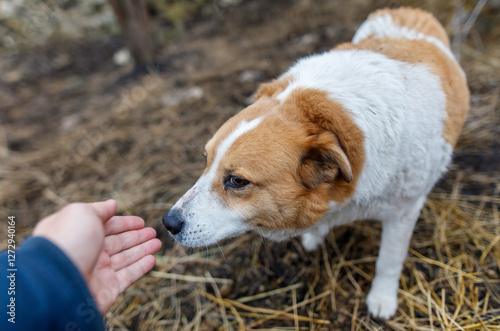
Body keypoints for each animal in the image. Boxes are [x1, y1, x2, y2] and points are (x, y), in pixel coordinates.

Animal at [163, 7, 468, 320]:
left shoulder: (405, 210)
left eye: (237, 181)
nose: (168, 223)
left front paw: (382, 297)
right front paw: (315, 234)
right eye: (205, 160)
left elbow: (389, 260)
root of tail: (408, 10)